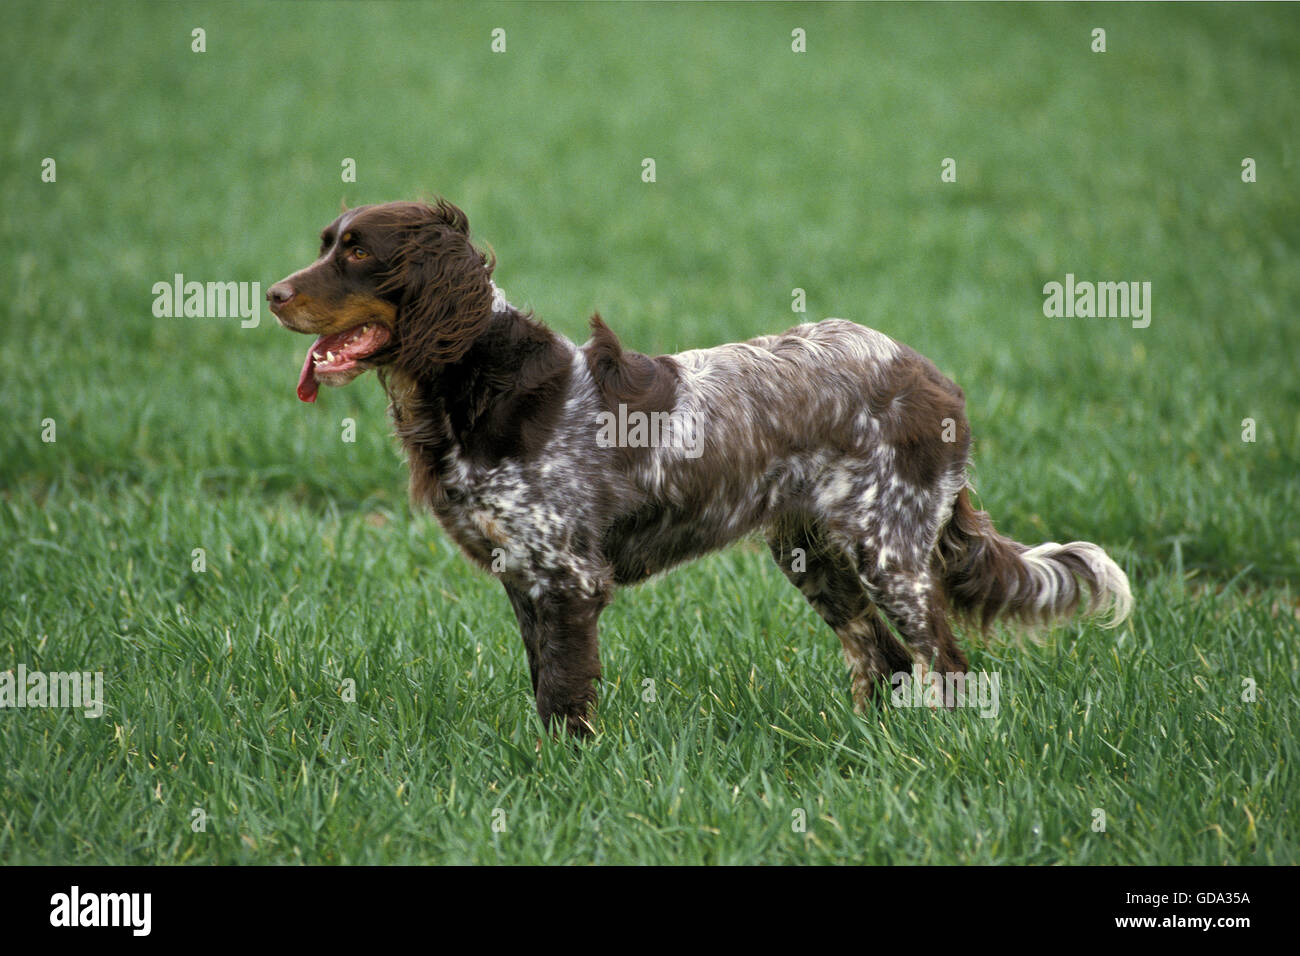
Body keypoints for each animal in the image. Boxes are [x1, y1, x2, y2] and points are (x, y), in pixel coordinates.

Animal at [269, 197, 1133, 738]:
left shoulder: (568, 577)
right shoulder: (525, 575)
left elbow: (565, 692)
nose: (272, 294)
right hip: (813, 555)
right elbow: (545, 686)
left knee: (944, 664)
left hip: (891, 551)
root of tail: (932, 376)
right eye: (324, 243)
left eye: (358, 251)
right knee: (883, 661)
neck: (475, 380)